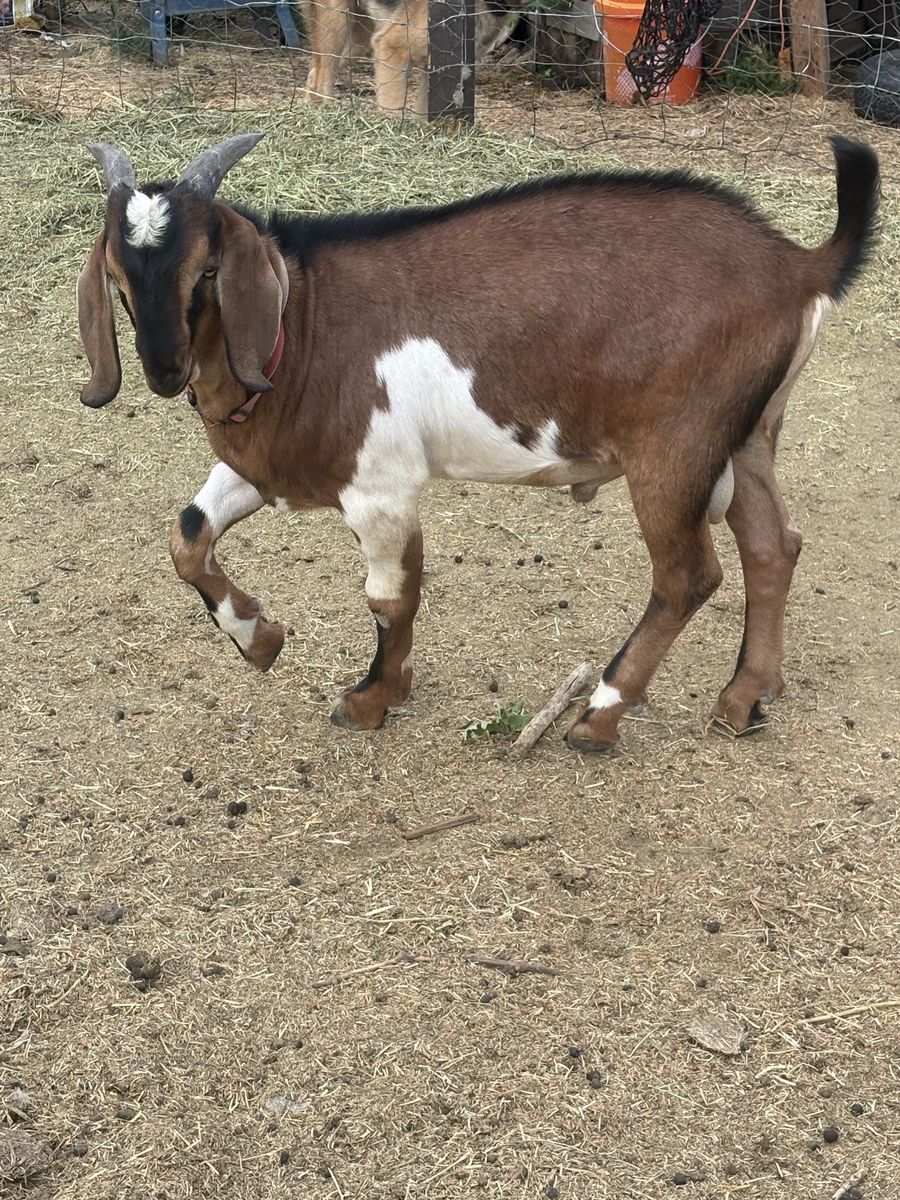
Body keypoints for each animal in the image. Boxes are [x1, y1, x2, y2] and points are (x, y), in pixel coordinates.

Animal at [77, 134, 879, 753]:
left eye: (206, 271)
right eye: (117, 275)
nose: (163, 368)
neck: (300, 326)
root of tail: (795, 264)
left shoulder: (381, 487)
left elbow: (389, 598)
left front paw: (371, 699)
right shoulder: (266, 470)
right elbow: (188, 537)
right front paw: (261, 640)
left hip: (677, 448)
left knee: (687, 577)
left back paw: (600, 716)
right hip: (748, 437)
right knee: (773, 545)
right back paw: (744, 698)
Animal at [302, 0, 519, 115]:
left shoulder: (434, 69)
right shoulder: (392, 47)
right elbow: (393, 108)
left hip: (358, 44)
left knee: (314, 72)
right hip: (336, 25)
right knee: (323, 80)